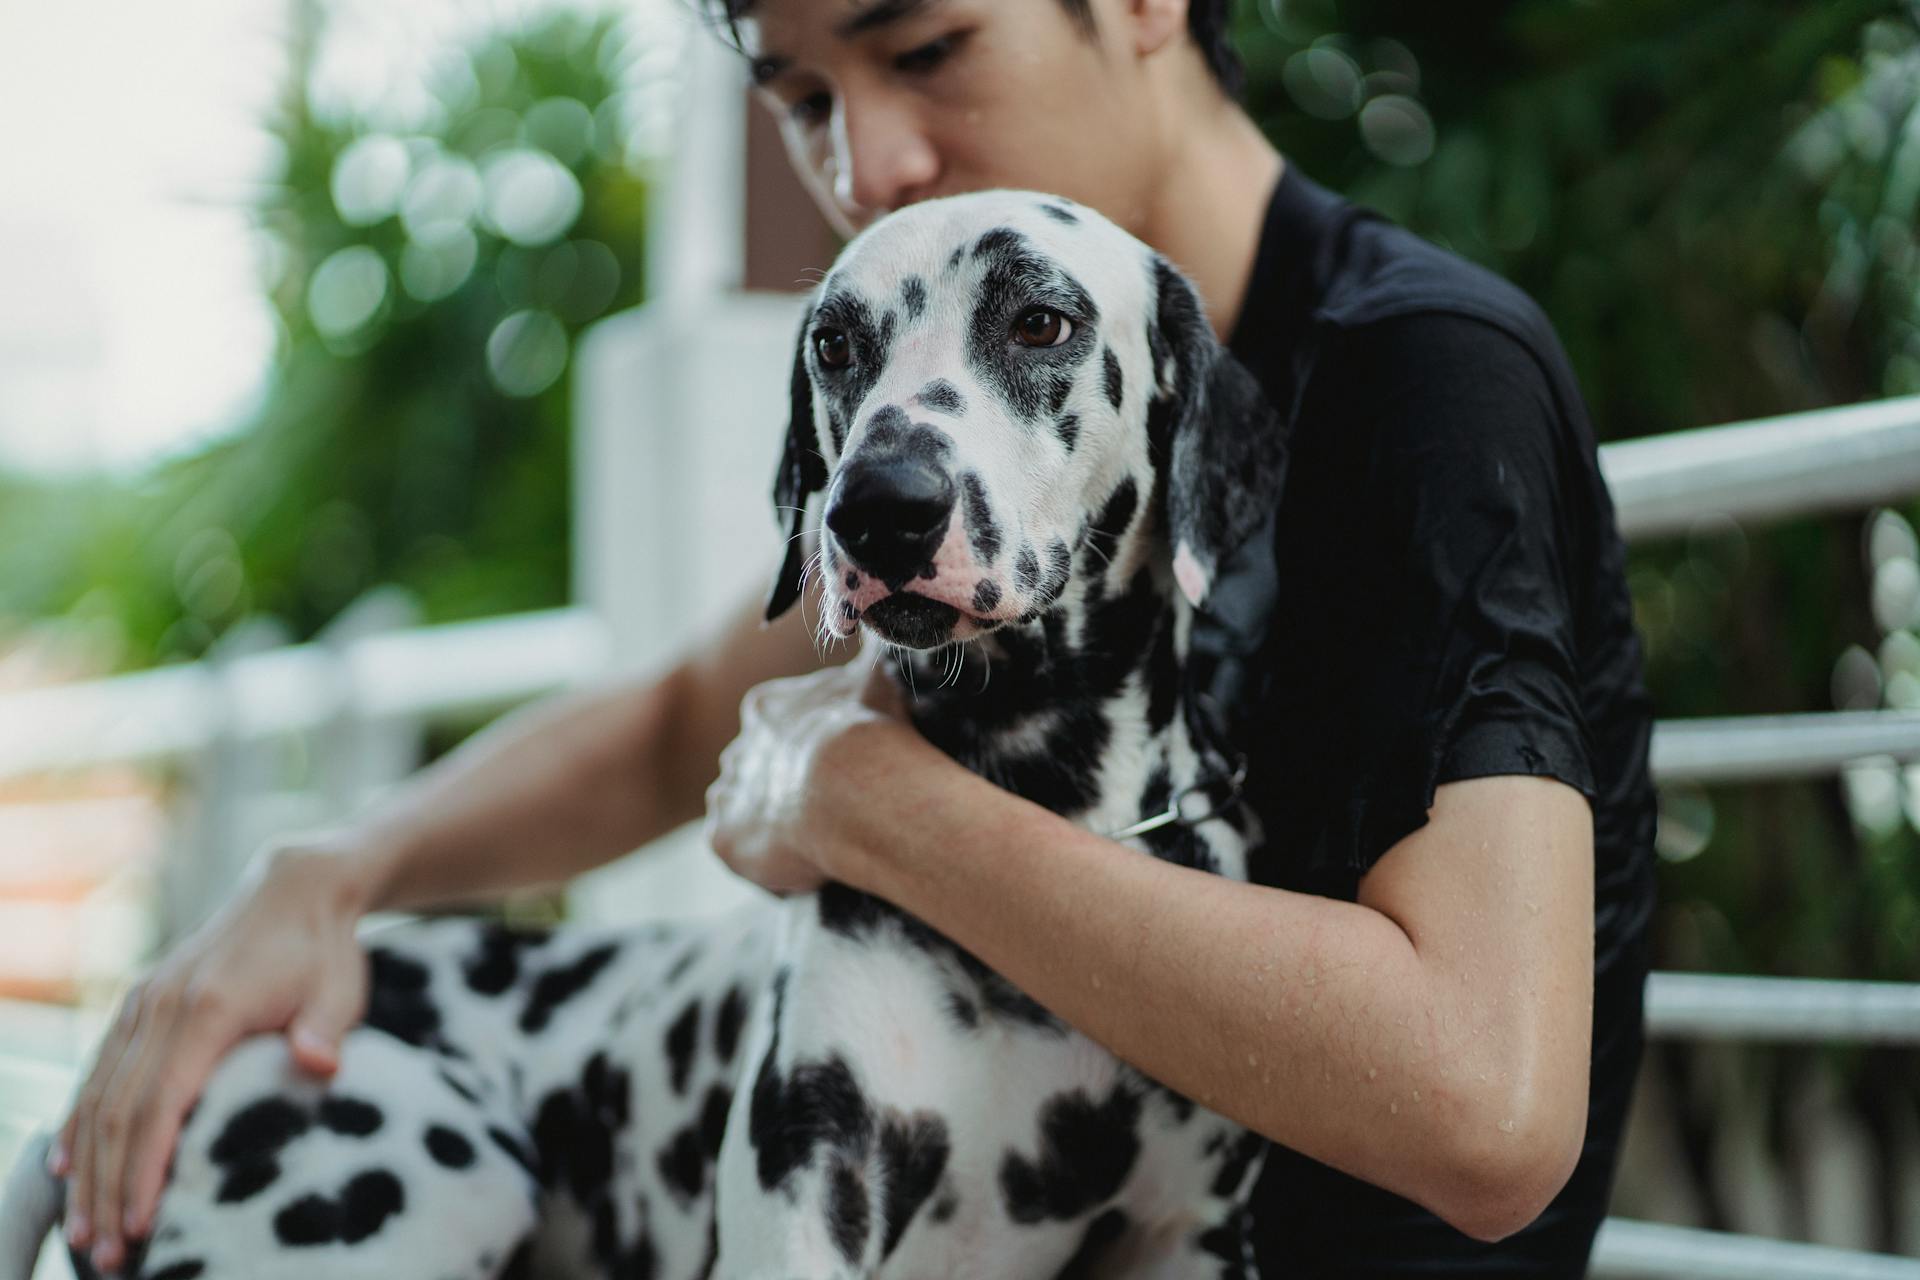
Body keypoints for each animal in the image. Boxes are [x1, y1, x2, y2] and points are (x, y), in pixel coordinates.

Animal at [3, 188, 1290, 1280]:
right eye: (835, 344)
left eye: (1040, 320)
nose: (878, 509)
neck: (1030, 812)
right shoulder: (809, 1185)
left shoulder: (1191, 1234)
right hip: (428, 1172)